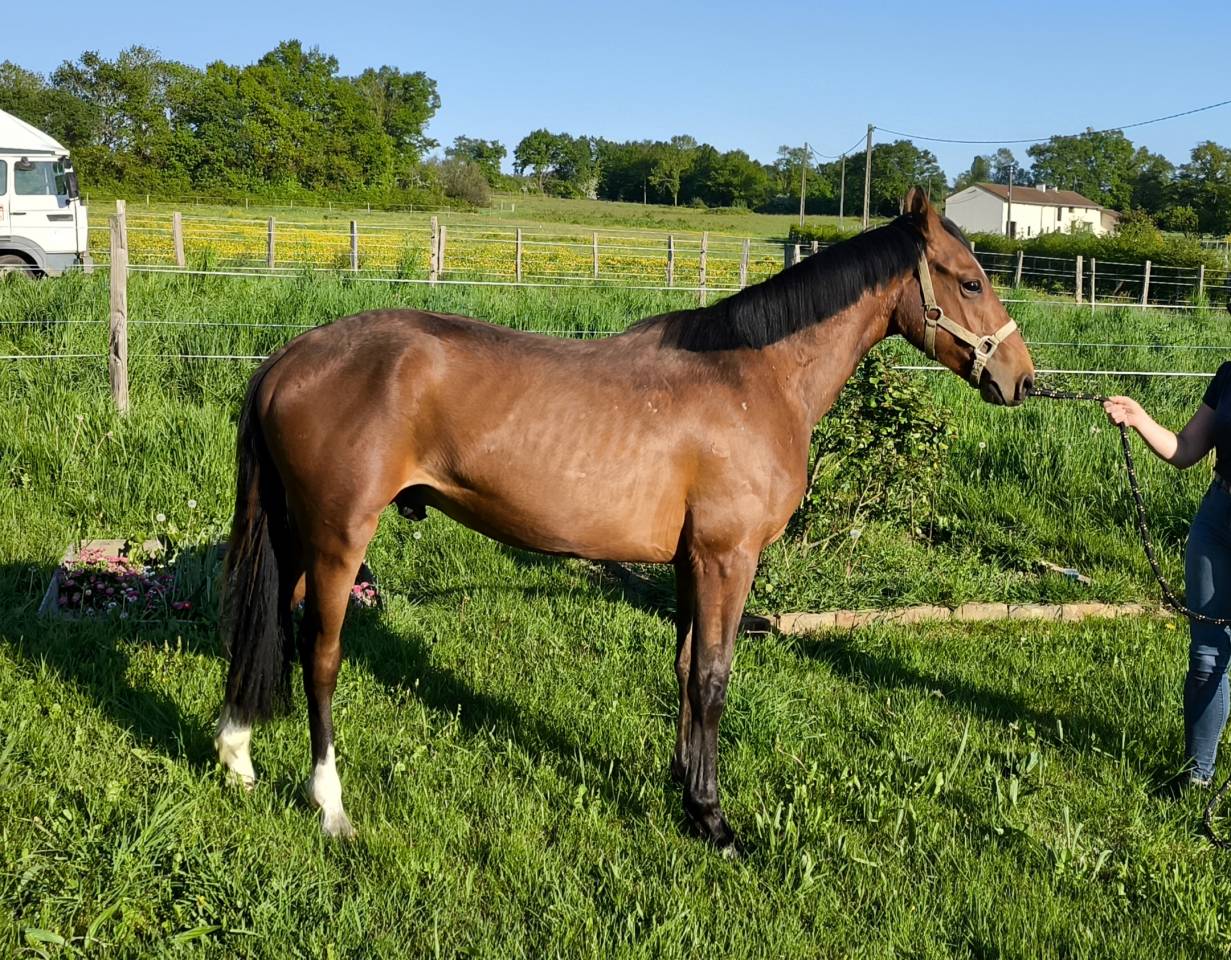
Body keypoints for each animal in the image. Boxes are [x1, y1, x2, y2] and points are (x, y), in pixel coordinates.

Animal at [214, 188, 1035, 852]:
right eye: (969, 280)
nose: (1021, 380)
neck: (755, 375)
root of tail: (288, 360)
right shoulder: (726, 557)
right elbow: (713, 677)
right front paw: (713, 819)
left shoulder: (690, 561)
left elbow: (683, 669)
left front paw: (685, 791)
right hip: (338, 539)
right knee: (319, 655)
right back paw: (330, 807)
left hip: (295, 537)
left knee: (265, 628)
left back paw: (237, 757)